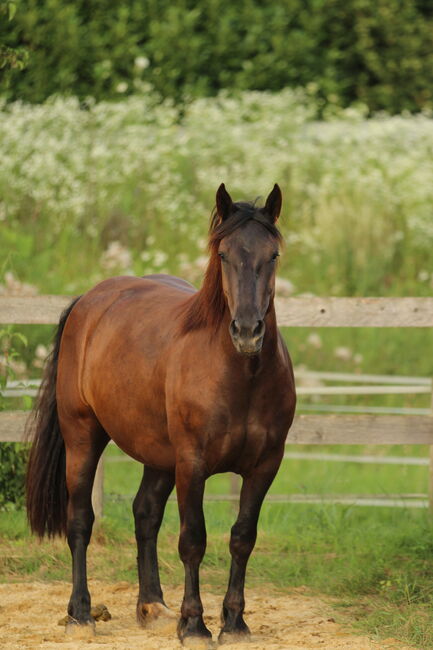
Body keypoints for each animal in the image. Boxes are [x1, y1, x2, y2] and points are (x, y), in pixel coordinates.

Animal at [25, 182, 296, 644]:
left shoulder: (265, 466)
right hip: (83, 436)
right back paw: (81, 614)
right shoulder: (192, 464)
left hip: (158, 455)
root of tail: (89, 300)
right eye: (224, 254)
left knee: (145, 514)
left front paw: (234, 623)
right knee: (80, 521)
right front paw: (195, 626)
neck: (240, 375)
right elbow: (193, 540)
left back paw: (152, 606)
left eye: (272, 254)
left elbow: (242, 538)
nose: (246, 331)